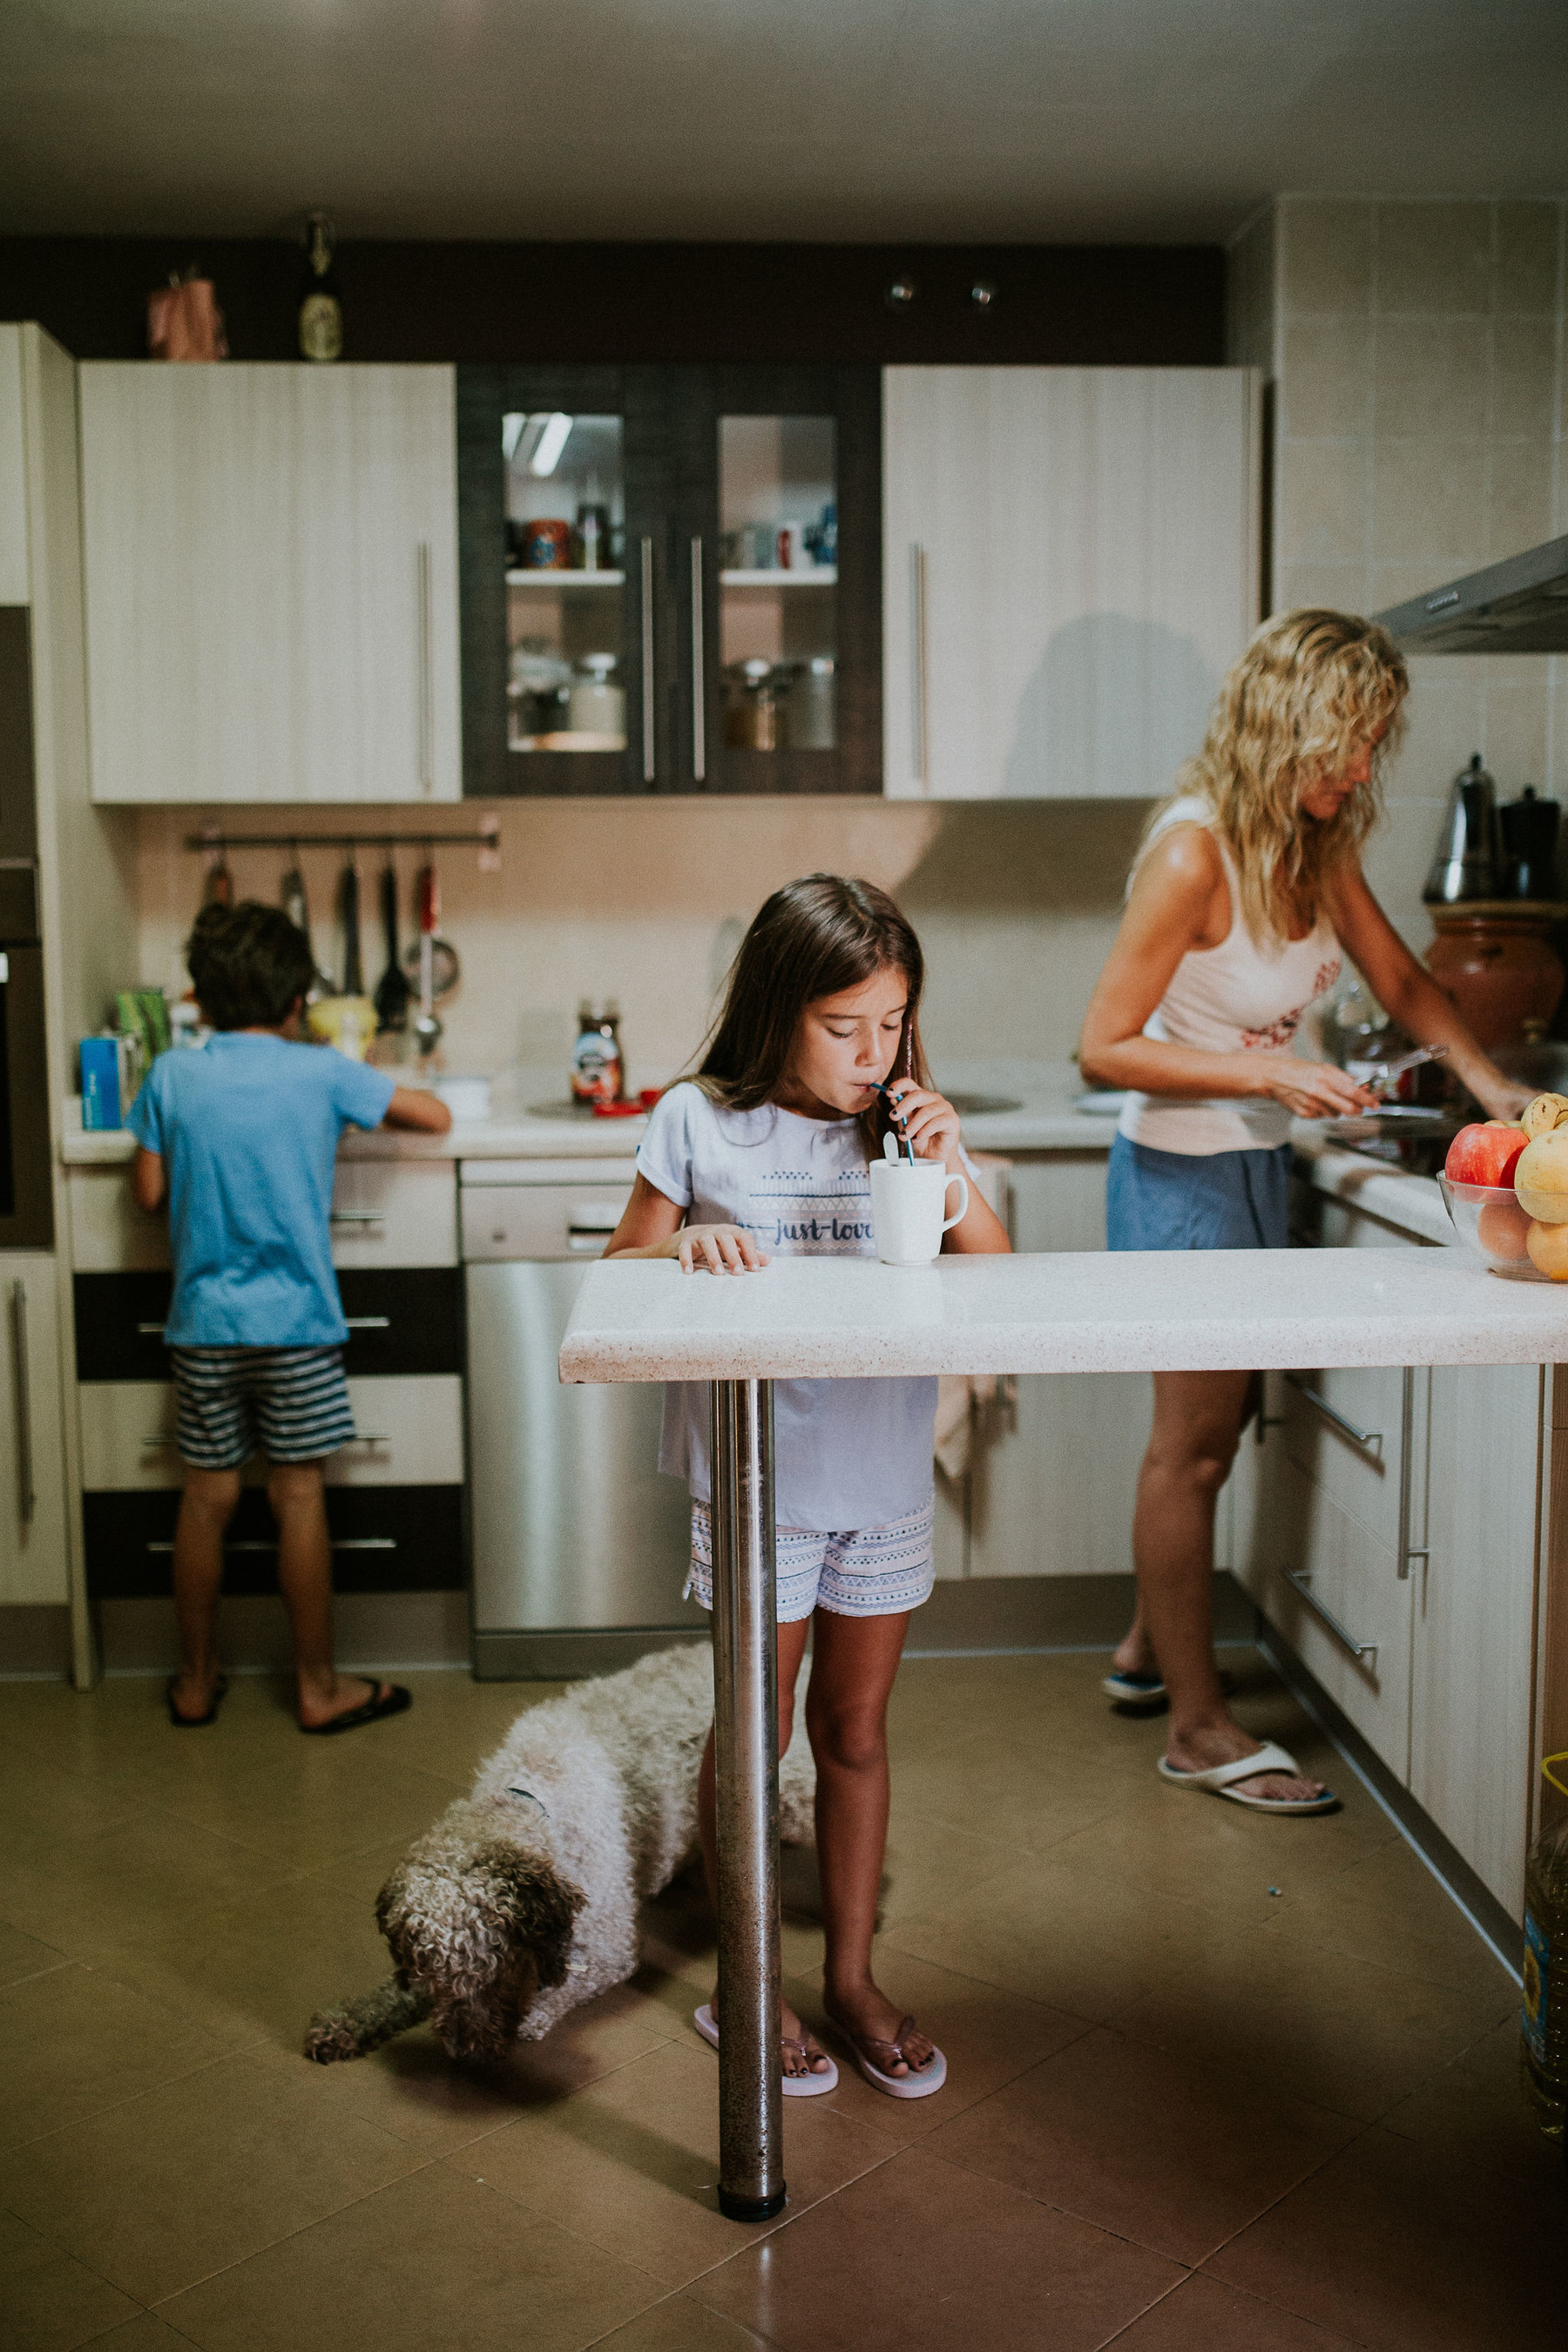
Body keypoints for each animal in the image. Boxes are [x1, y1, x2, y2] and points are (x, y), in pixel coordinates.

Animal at [308, 1646, 822, 2070]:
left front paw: (532, 2017)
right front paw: (346, 2022)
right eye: (429, 1974)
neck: (529, 1797)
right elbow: (388, 1996)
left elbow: (564, 1985)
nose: (465, 2055)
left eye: (491, 1970)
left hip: (796, 1800)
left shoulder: (609, 1945)